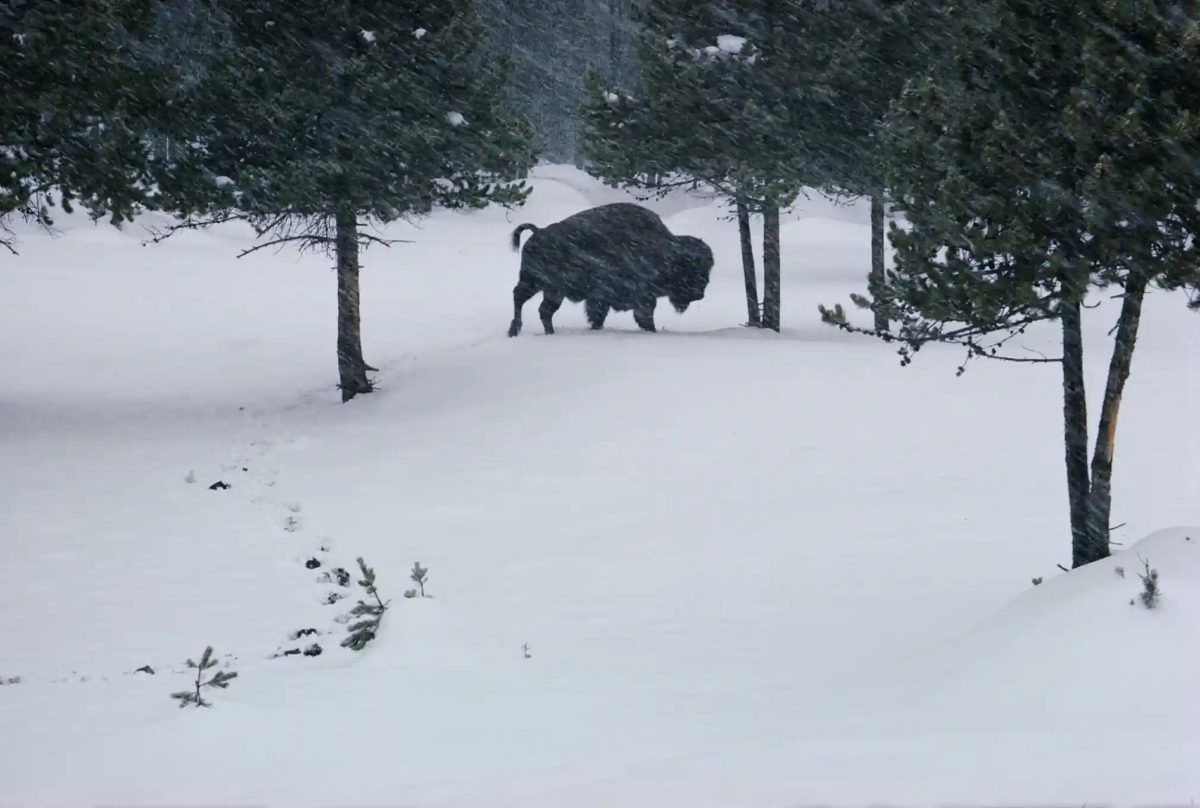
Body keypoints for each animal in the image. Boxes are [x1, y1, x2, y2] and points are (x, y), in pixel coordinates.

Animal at [506, 205, 710, 340]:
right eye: (691, 270)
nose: (699, 294)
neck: (664, 252)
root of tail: (538, 232)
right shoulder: (639, 297)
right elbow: (643, 316)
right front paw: (652, 331)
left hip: (551, 290)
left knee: (543, 310)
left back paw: (547, 333)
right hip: (535, 282)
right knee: (520, 298)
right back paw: (515, 330)